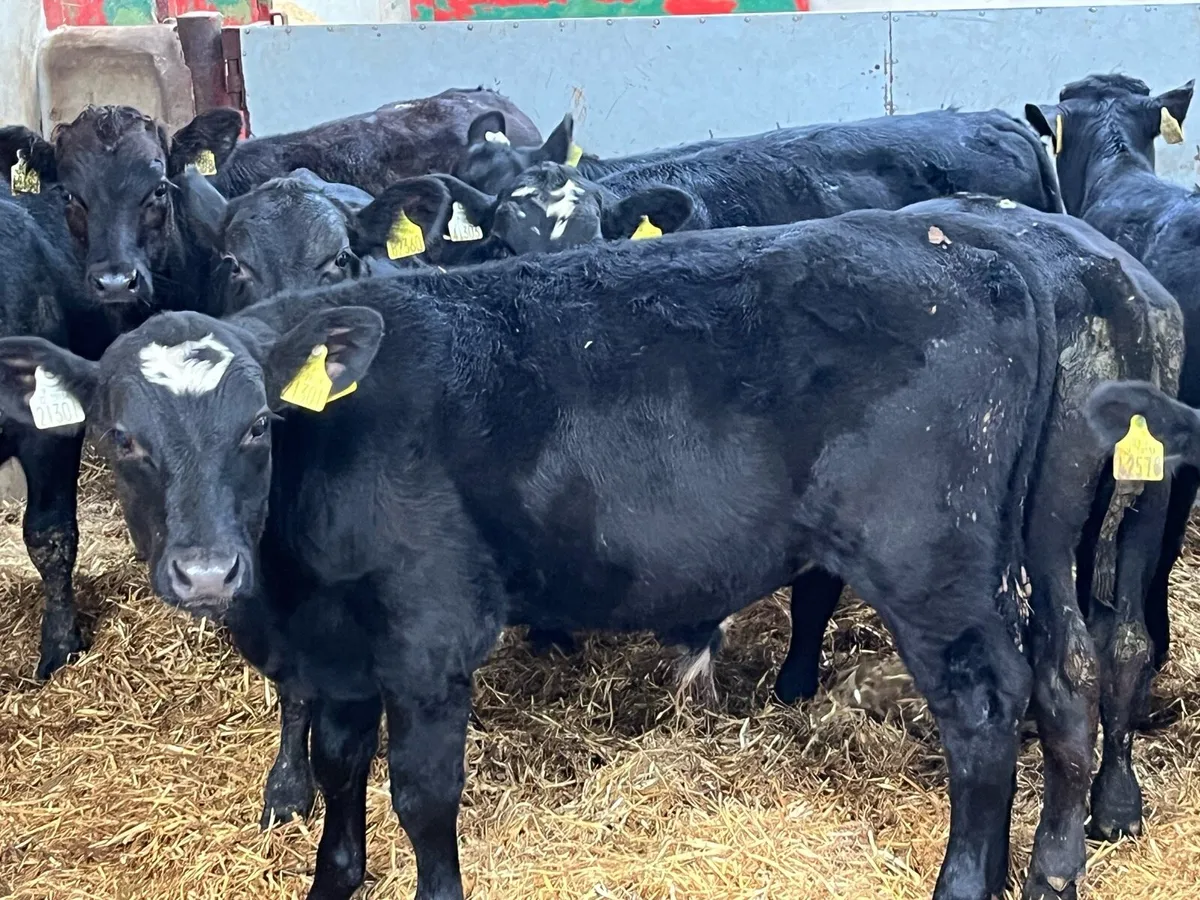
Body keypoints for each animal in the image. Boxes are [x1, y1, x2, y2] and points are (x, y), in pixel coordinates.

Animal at [0, 205, 1174, 900]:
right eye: (122, 437)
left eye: (256, 428)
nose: (206, 569)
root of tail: (969, 246)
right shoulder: (338, 650)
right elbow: (337, 766)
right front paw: (334, 879)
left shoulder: (429, 635)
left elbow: (421, 791)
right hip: (1026, 551)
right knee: (1063, 679)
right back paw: (1050, 869)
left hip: (931, 569)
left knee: (983, 715)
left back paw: (967, 881)